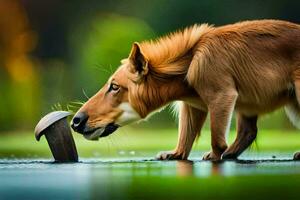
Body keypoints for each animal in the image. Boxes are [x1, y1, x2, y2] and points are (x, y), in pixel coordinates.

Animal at [71, 19, 300, 161]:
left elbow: (216, 139)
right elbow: (185, 138)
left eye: (114, 86)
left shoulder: (222, 96)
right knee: (249, 132)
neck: (188, 61)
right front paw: (174, 154)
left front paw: (214, 156)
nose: (76, 121)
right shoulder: (193, 106)